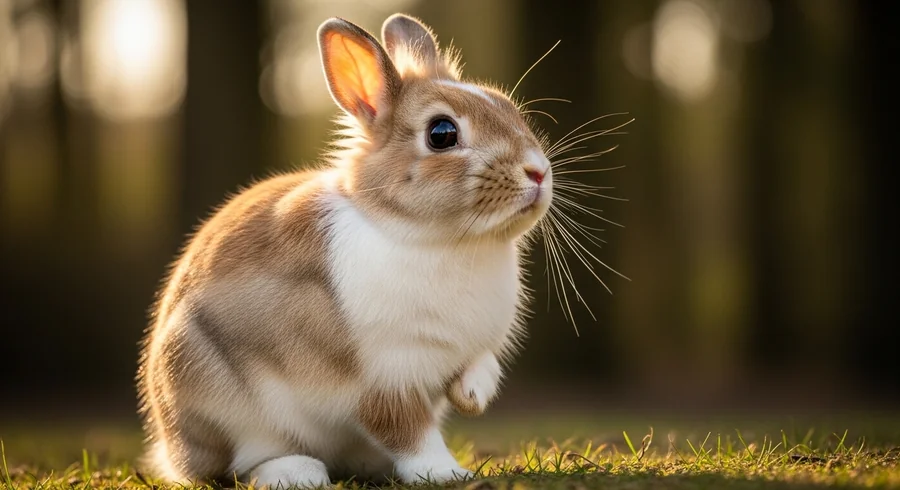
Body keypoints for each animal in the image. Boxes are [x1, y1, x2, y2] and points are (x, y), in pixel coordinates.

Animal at [137, 12, 554, 489]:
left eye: (507, 106)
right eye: (442, 133)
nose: (538, 172)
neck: (436, 236)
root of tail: (172, 451)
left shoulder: (470, 351)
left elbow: (479, 367)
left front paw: (472, 397)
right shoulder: (385, 379)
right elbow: (409, 433)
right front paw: (446, 472)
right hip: (218, 398)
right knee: (244, 464)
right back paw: (298, 473)